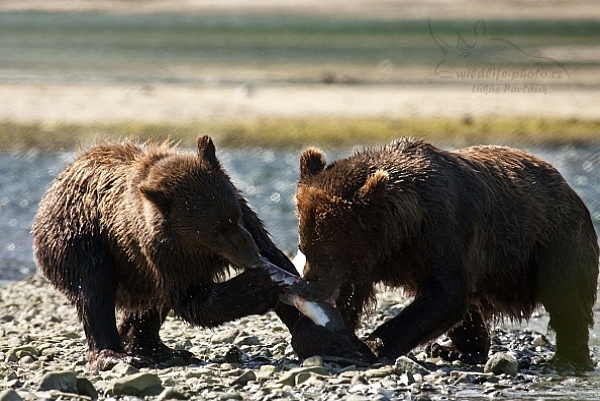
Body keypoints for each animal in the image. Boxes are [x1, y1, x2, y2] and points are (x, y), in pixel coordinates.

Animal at [32, 136, 302, 370]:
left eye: (234, 218)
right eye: (216, 231)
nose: (252, 257)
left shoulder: (244, 214)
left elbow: (273, 253)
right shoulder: (162, 252)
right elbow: (191, 299)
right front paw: (260, 286)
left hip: (137, 272)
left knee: (149, 303)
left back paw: (157, 349)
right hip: (80, 237)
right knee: (95, 290)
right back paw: (115, 355)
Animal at [292, 137, 596, 368]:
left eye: (327, 254)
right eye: (303, 248)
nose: (308, 286)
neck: (402, 232)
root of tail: (571, 190)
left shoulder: (445, 231)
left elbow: (444, 295)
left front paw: (371, 344)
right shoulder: (371, 261)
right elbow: (352, 294)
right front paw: (328, 336)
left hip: (553, 242)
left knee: (567, 298)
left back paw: (570, 356)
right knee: (471, 310)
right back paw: (453, 349)